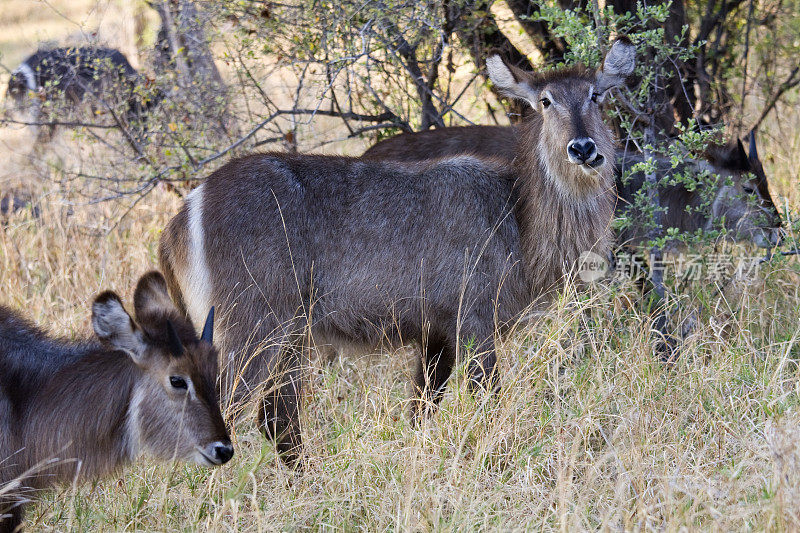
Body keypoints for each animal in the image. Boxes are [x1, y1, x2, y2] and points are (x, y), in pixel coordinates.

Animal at [159, 37, 636, 462]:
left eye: (595, 95)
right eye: (545, 101)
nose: (583, 148)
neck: (517, 220)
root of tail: (184, 213)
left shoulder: (436, 333)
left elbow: (420, 410)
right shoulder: (473, 317)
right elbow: (489, 403)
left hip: (291, 335)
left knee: (278, 418)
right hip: (253, 324)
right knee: (225, 411)